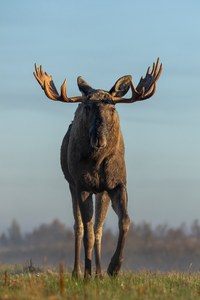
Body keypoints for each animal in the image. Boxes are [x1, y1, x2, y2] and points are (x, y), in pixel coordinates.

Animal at [33, 59, 162, 278]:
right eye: (87, 107)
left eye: (112, 107)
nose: (98, 137)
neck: (98, 162)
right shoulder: (82, 185)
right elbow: (87, 232)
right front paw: (86, 274)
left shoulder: (117, 183)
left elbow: (124, 221)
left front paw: (113, 267)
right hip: (72, 184)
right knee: (79, 227)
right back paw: (78, 272)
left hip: (101, 191)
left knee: (98, 228)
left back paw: (99, 273)